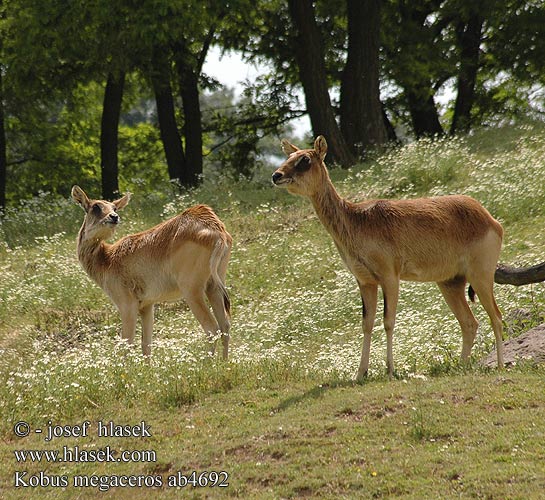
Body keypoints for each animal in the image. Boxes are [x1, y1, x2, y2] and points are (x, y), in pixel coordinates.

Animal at [70, 186, 232, 358]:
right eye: (96, 206)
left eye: (114, 207)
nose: (114, 217)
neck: (107, 259)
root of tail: (217, 230)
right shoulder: (147, 305)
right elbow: (146, 346)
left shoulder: (127, 305)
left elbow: (127, 345)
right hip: (213, 286)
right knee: (225, 326)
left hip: (192, 290)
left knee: (212, 328)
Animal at [270, 137, 504, 378]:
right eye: (288, 156)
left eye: (305, 160)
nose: (276, 175)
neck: (357, 220)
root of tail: (491, 219)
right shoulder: (365, 281)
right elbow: (367, 323)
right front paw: (360, 374)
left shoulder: (390, 277)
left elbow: (388, 321)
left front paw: (390, 370)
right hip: (450, 282)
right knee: (470, 323)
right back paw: (461, 366)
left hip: (481, 276)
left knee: (496, 317)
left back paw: (501, 365)